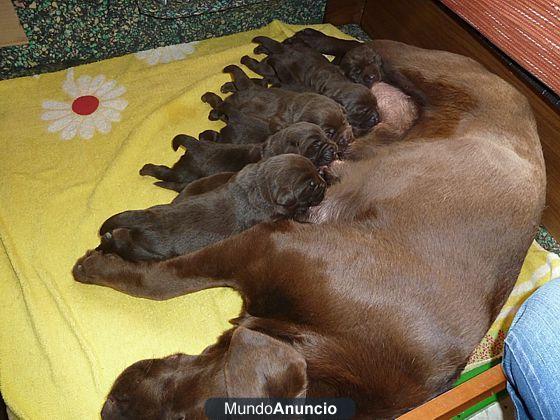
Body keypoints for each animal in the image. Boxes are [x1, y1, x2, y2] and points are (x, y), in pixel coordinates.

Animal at [94, 153, 326, 260]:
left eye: (316, 175)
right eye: (311, 186)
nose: (324, 184)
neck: (260, 185)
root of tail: (149, 218)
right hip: (148, 251)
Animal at [139, 122, 336, 193]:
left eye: (327, 135)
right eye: (315, 145)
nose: (334, 149)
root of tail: (194, 144)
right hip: (184, 172)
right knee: (165, 172)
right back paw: (145, 169)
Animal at [201, 65, 352, 148]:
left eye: (345, 121)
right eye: (329, 133)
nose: (346, 140)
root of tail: (249, 88)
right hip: (234, 103)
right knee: (218, 102)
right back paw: (210, 102)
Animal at [242, 37, 378, 136]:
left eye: (376, 104)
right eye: (362, 111)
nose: (376, 118)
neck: (337, 83)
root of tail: (285, 49)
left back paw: (260, 48)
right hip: (268, 68)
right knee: (258, 65)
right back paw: (245, 59)